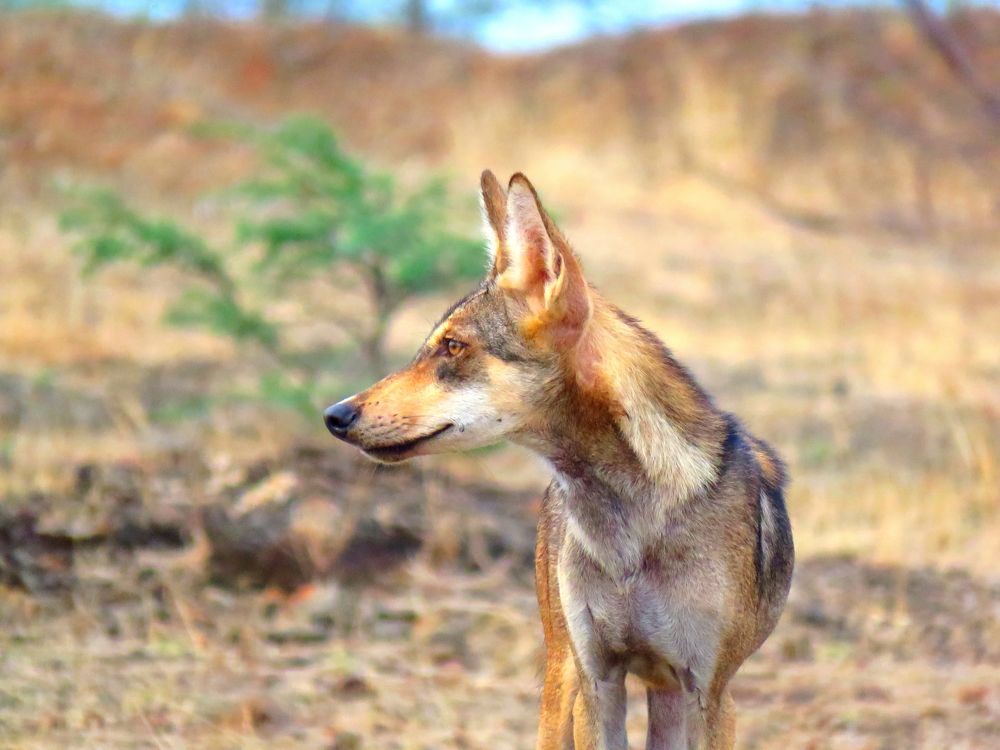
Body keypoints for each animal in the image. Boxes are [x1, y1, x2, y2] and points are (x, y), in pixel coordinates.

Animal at [324, 171, 794, 749]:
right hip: (562, 676)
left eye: (452, 347)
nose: (335, 414)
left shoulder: (710, 694)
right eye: (433, 346)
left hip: (664, 695)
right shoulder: (599, 681)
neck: (630, 529)